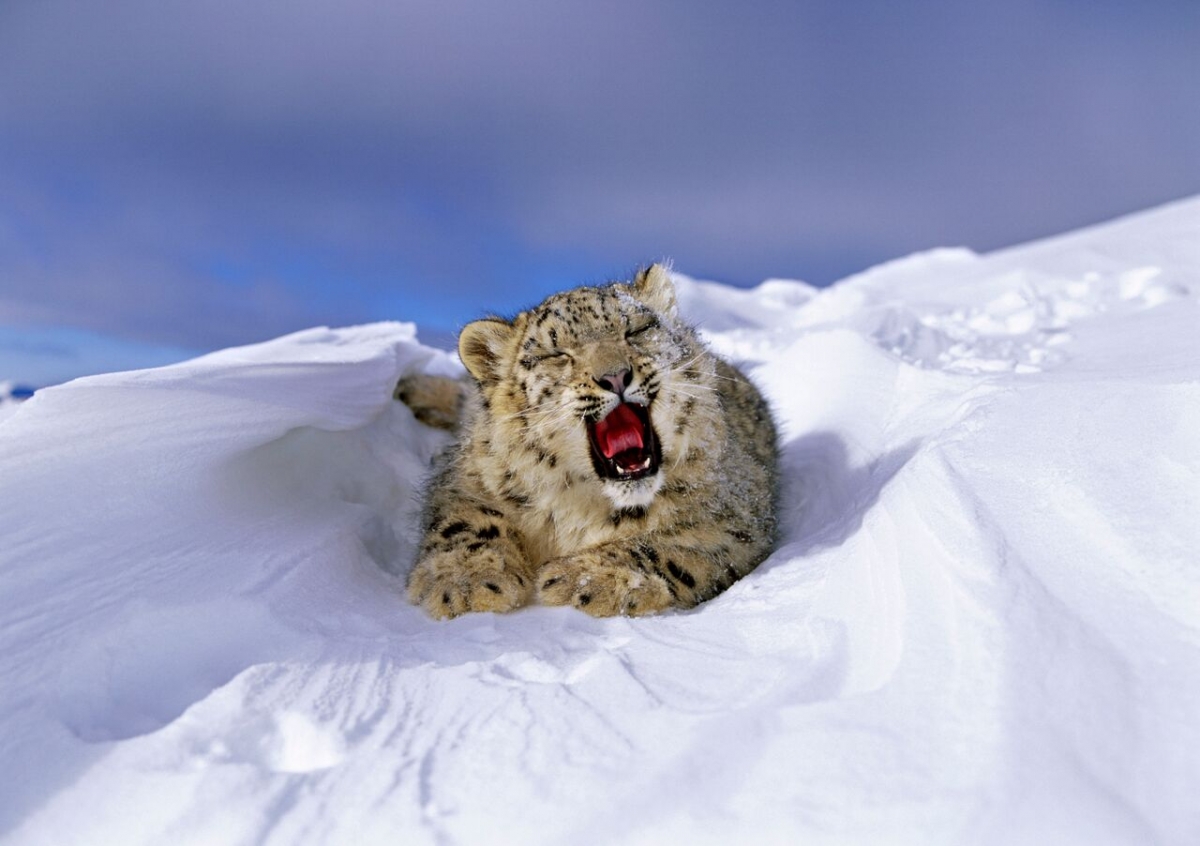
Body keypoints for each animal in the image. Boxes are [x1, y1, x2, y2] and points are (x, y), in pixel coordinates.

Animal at [398, 265, 782, 619]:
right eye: (557, 354)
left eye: (637, 330)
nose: (615, 376)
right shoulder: (466, 479)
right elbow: (465, 521)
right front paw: (467, 581)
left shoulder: (732, 518)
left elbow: (671, 547)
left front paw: (584, 578)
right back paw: (411, 388)